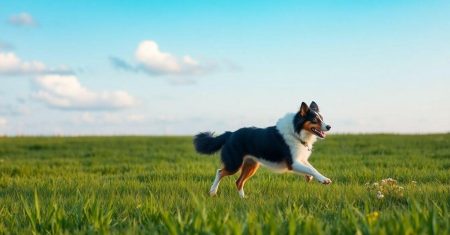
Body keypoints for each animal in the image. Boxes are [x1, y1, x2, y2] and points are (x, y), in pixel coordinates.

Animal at [192, 101, 332, 198]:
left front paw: (310, 178)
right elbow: (311, 169)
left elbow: (312, 168)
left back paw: (243, 198)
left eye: (322, 119)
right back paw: (213, 191)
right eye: (315, 120)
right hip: (235, 164)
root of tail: (230, 134)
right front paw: (324, 180)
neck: (296, 132)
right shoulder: (292, 163)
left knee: (238, 181)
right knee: (220, 172)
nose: (329, 126)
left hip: (251, 165)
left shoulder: (300, 159)